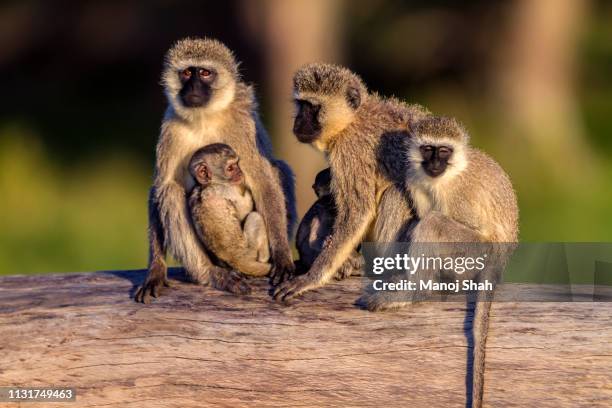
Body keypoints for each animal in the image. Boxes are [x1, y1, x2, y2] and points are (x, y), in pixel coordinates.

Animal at [189, 143, 270, 278]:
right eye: (231, 168)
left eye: (237, 164)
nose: (240, 172)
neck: (208, 184)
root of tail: (234, 259)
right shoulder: (227, 190)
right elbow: (245, 208)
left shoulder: (194, 192)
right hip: (249, 251)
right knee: (254, 216)